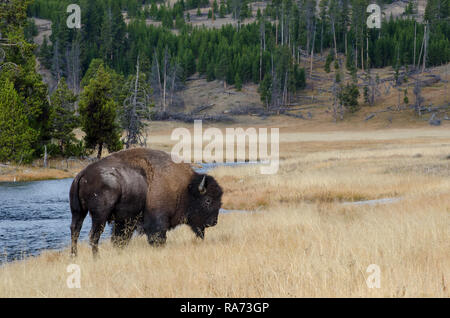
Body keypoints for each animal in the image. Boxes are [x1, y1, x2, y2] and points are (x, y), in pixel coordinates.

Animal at [70, 148, 223, 256]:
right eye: (208, 200)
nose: (214, 222)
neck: (185, 188)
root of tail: (82, 174)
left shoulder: (125, 221)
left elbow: (120, 240)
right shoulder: (157, 222)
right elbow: (157, 239)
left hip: (78, 212)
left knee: (75, 231)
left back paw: (74, 257)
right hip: (99, 215)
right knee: (93, 236)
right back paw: (96, 258)